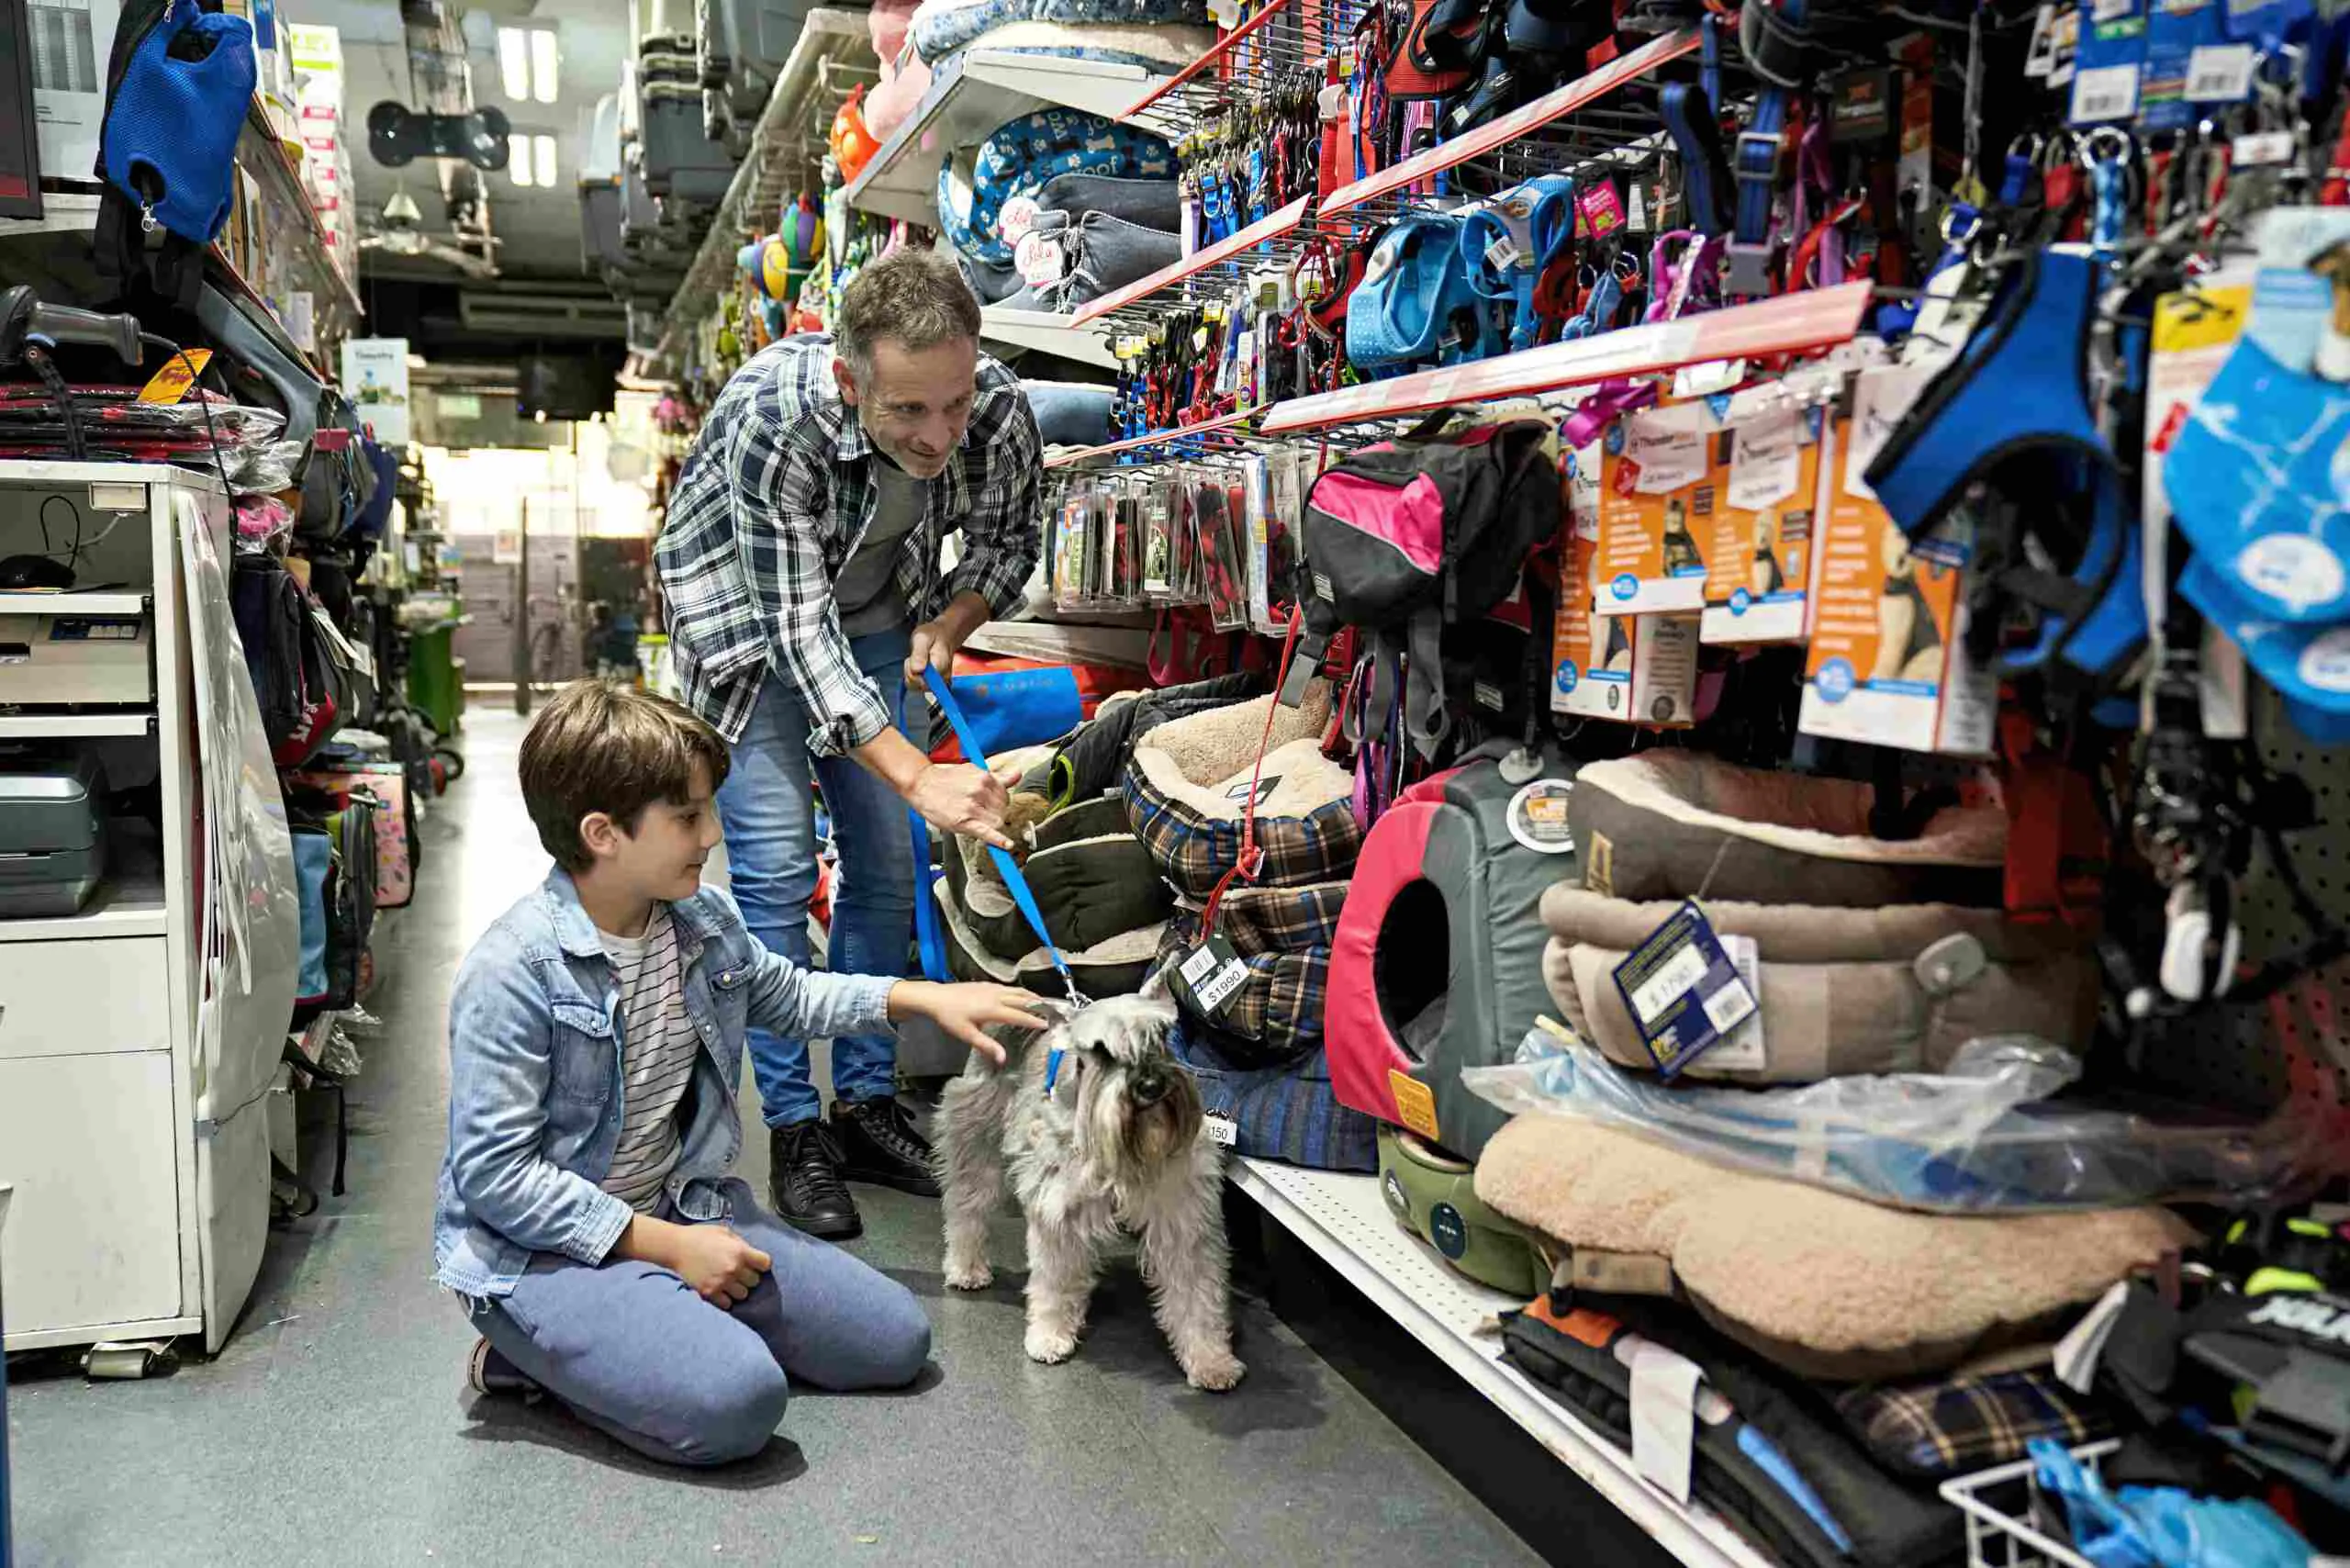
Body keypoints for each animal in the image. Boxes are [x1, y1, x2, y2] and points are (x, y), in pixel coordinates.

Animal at [930, 1001, 1249, 1391]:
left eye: (1161, 1035)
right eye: (1103, 1050)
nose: (1151, 1085)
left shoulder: (1181, 1218)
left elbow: (1198, 1296)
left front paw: (1210, 1360)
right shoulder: (1058, 1213)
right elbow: (1055, 1281)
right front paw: (1049, 1336)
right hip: (977, 1144)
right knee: (966, 1210)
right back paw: (966, 1268)